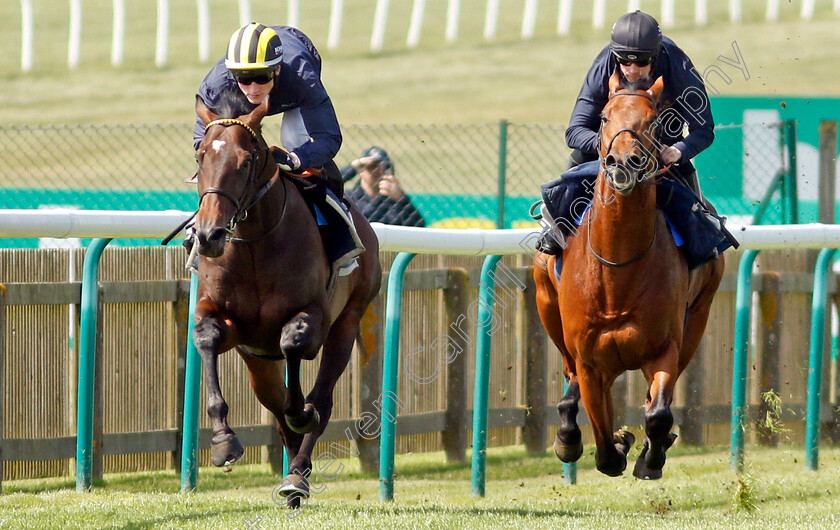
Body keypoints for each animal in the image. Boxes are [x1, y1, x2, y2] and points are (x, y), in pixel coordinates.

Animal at [190, 92, 380, 504]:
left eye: (245, 161)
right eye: (200, 157)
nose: (210, 235)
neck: (254, 245)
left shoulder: (314, 315)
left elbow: (294, 346)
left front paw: (302, 414)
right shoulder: (235, 328)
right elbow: (207, 338)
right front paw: (223, 441)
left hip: (348, 321)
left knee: (320, 399)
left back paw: (297, 474)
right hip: (258, 361)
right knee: (275, 406)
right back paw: (292, 474)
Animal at [536, 72, 724, 476]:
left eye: (653, 120)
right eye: (605, 117)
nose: (624, 160)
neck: (617, 267)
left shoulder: (664, 347)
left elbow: (658, 413)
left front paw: (650, 455)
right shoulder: (590, 360)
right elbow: (605, 449)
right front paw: (615, 442)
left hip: (698, 317)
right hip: (547, 305)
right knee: (570, 376)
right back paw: (568, 432)